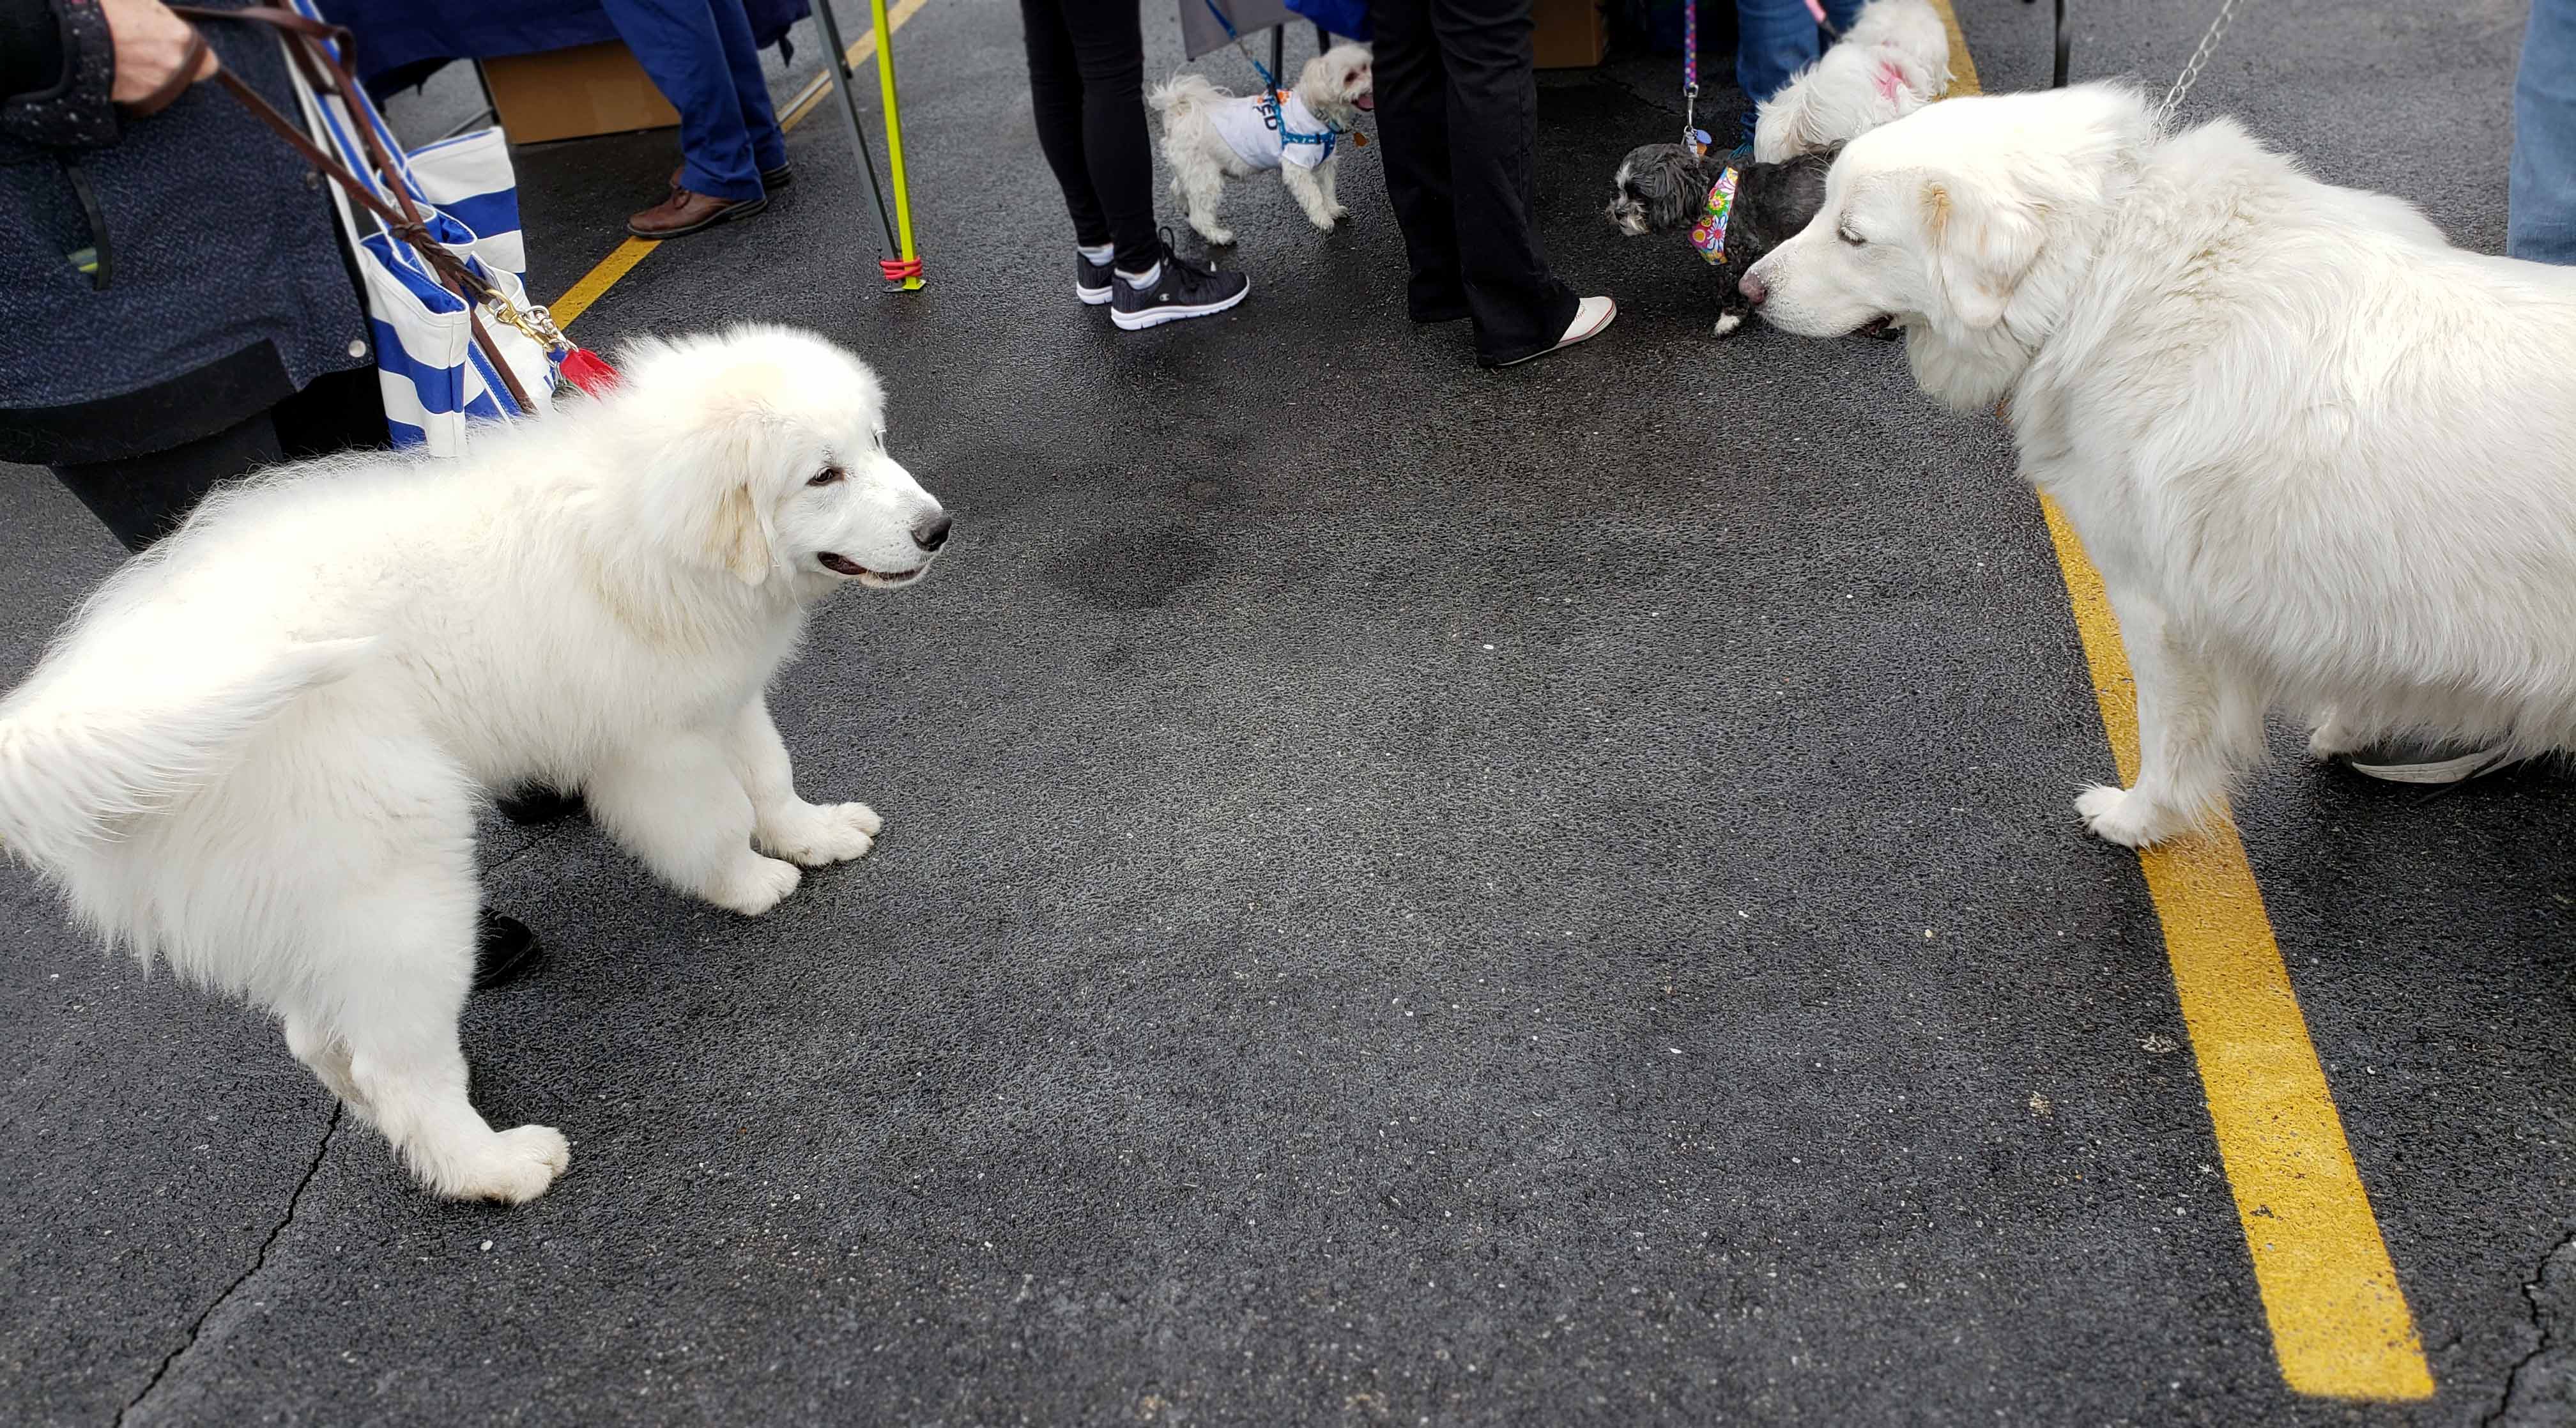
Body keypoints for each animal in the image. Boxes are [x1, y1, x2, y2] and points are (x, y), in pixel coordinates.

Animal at [0, 325, 953, 1201]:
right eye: (822, 476)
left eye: (874, 442)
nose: (939, 529)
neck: (638, 517)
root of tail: (94, 699)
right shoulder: (657, 744)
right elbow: (714, 820)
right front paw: (750, 884)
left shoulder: (722, 693)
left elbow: (769, 773)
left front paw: (814, 836)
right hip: (397, 883)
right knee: (396, 1064)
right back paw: (491, 1165)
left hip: (307, 903)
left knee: (321, 1038)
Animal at [1159, 43, 1381, 245]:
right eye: (1350, 77)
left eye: (1366, 67)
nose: (1374, 83)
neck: (1315, 112)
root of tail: (1179, 114)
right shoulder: (1297, 166)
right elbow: (1314, 195)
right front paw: (1323, 219)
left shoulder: (1325, 164)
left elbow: (1327, 190)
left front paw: (1333, 209)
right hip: (1206, 177)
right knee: (1199, 217)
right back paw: (1219, 236)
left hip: (1193, 171)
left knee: (1177, 188)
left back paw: (1185, 206)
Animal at [1597, 142, 1844, 337]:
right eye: (1621, 190)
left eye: (1639, 194)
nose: (1617, 212)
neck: (1707, 194)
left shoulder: (1746, 249)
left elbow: (1732, 283)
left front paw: (1729, 317)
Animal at [1741, 83, 2576, 845]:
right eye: (1822, 212)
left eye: (1853, 236)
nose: (1748, 289)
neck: (2098, 270)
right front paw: (2354, 727)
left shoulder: (2159, 610)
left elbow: (2168, 739)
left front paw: (2140, 820)